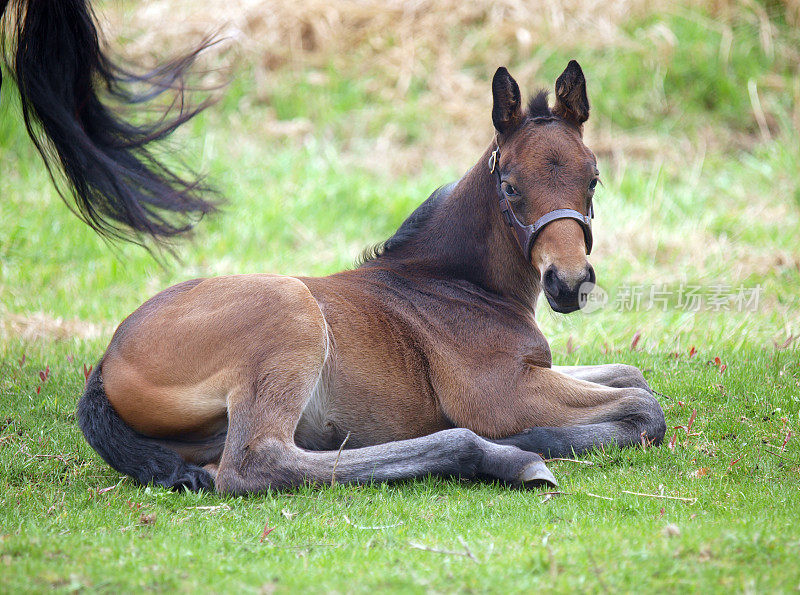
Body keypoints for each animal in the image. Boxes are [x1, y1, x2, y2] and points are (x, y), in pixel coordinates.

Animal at [79, 62, 668, 496]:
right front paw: (542, 436)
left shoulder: (539, 369)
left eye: (593, 179)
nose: (569, 283)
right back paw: (509, 458)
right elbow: (645, 408)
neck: (456, 284)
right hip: (288, 313)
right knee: (256, 465)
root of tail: (106, 361)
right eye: (510, 186)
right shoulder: (501, 392)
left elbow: (632, 376)